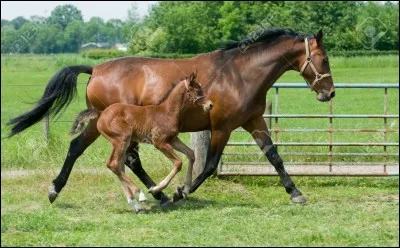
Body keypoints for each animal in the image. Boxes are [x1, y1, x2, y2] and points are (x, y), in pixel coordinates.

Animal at [69, 71, 212, 211]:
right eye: (198, 90)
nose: (210, 105)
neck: (167, 112)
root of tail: (101, 113)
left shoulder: (173, 140)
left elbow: (191, 154)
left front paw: (186, 188)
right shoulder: (159, 142)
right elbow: (178, 163)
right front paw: (156, 188)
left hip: (122, 143)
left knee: (119, 166)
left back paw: (134, 204)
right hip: (121, 140)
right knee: (113, 164)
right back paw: (140, 194)